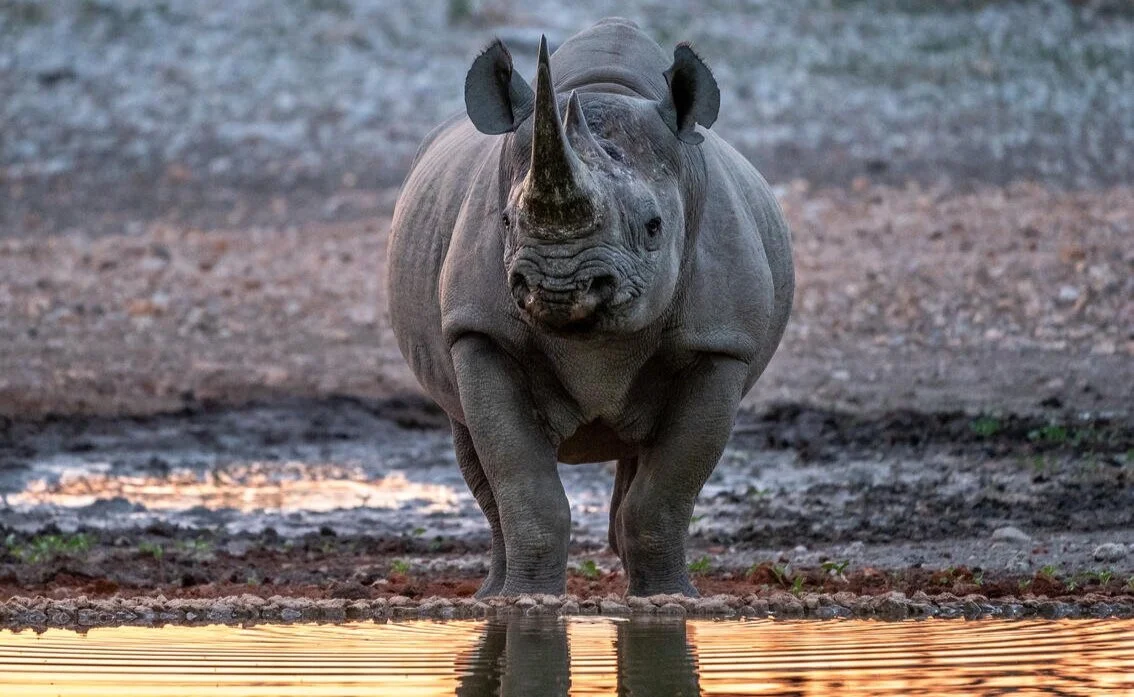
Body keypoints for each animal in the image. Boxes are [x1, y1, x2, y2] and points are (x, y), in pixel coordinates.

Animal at [387, 18, 793, 597]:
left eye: (654, 227)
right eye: (506, 222)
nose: (559, 284)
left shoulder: (720, 343)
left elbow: (666, 492)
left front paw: (670, 599)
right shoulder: (479, 331)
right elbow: (522, 485)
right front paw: (525, 601)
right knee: (472, 448)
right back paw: (491, 594)